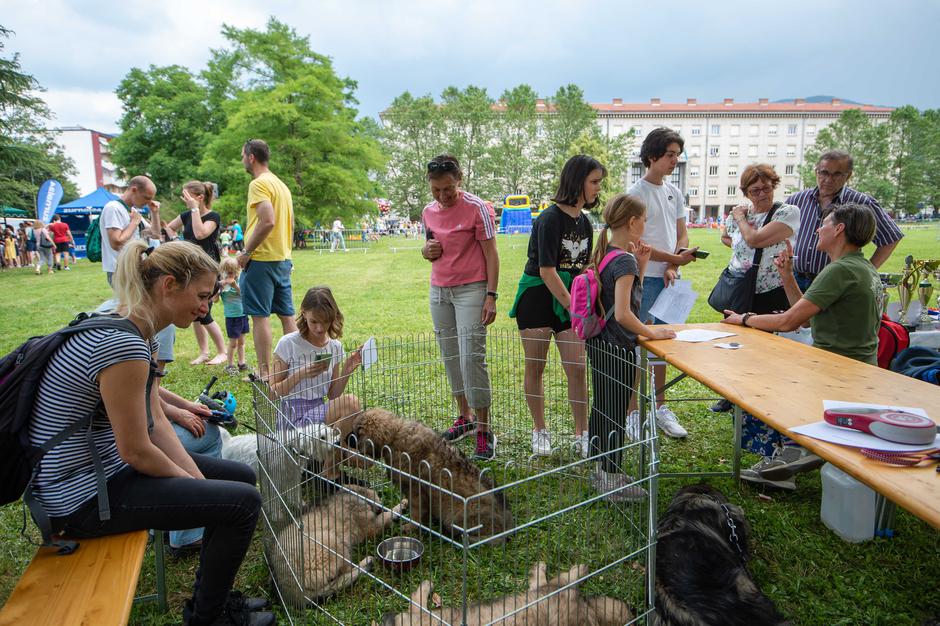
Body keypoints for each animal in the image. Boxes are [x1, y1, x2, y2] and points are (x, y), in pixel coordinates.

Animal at [272, 480, 404, 604]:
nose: (380, 504)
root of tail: (294, 591)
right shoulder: (371, 526)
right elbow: (386, 516)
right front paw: (401, 505)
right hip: (333, 542)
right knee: (346, 573)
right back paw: (366, 563)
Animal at [346, 408, 510, 544]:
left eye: (355, 432)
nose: (345, 438)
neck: (394, 435)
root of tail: (508, 527)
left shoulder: (415, 490)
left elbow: (417, 513)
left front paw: (410, 527)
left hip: (456, 515)